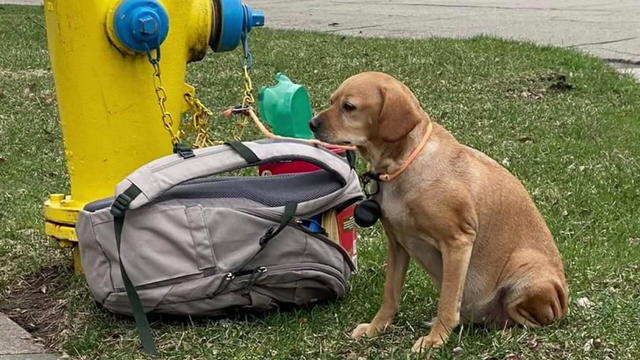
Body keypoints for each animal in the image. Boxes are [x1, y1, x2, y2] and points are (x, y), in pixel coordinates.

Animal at [312, 71, 568, 350]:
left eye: (349, 107)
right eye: (332, 100)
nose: (312, 123)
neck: (403, 164)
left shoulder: (458, 241)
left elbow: (447, 301)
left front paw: (435, 339)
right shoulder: (397, 244)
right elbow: (390, 294)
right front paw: (376, 328)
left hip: (527, 274)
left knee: (531, 321)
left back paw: (506, 333)